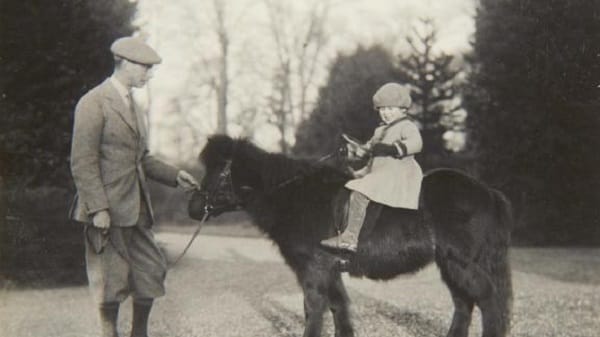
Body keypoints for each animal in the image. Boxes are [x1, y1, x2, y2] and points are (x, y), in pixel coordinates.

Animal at [190, 135, 512, 336]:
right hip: (450, 265)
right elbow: (338, 308)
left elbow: (314, 309)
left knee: (487, 299)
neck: (296, 194)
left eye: (219, 170)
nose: (193, 206)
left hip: (461, 262)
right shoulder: (330, 271)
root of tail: (487, 192)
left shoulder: (314, 270)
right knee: (464, 303)